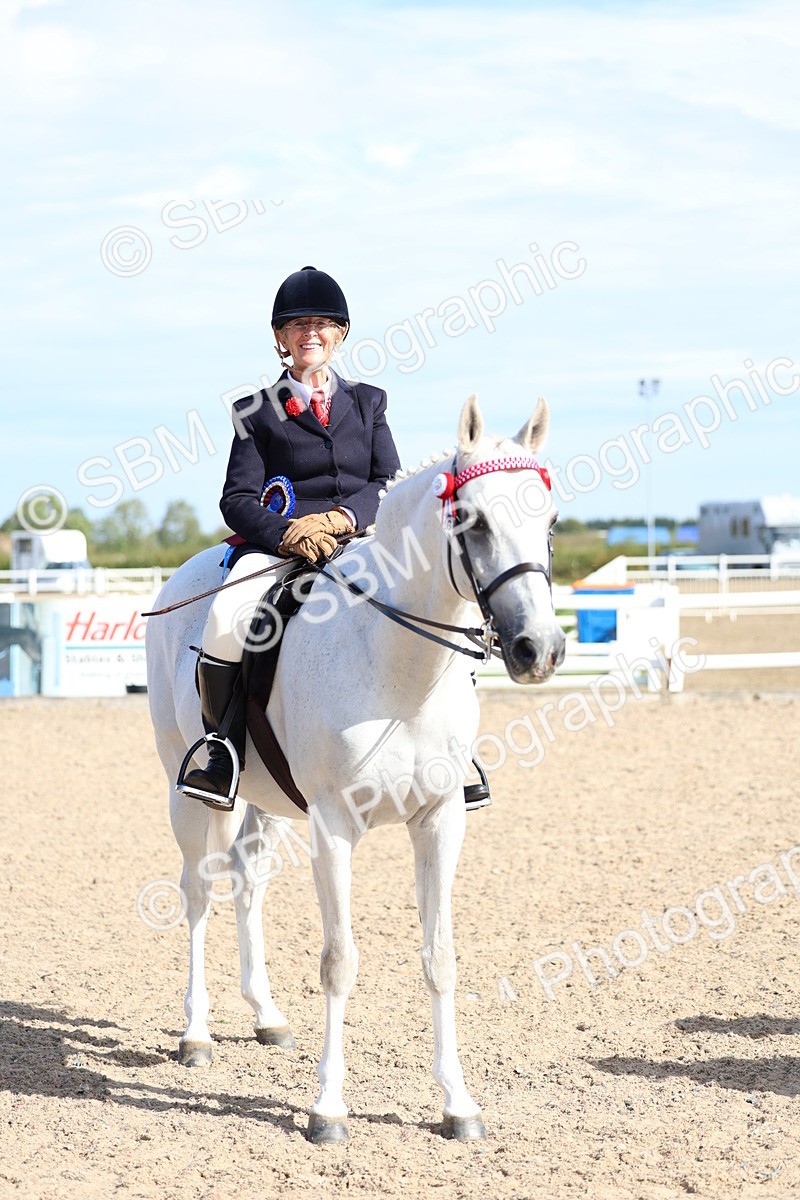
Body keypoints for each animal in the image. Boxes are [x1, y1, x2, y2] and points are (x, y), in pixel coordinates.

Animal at [145, 395, 565, 1144]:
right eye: (472, 520)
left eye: (549, 522)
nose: (536, 650)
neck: (399, 665)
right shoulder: (334, 826)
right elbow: (339, 962)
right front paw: (328, 1108)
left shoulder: (441, 820)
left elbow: (440, 957)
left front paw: (458, 1105)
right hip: (188, 791)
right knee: (198, 890)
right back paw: (197, 1034)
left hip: (268, 800)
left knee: (247, 881)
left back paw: (267, 1016)